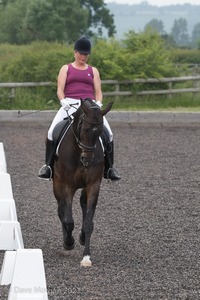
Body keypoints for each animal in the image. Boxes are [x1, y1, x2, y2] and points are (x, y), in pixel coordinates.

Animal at [52, 97, 113, 266]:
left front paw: (86, 256)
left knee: (82, 204)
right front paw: (68, 242)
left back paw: (81, 237)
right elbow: (68, 220)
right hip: (57, 184)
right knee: (61, 209)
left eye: (99, 131)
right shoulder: (67, 186)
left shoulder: (93, 185)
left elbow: (88, 222)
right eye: (84, 129)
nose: (87, 159)